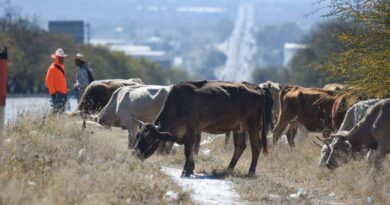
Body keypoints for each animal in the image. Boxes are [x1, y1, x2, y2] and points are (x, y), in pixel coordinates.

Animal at [131, 81, 272, 177]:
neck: (178, 103)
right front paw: (191, 168)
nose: (135, 153)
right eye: (138, 136)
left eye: (149, 138)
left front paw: (186, 171)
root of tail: (258, 88)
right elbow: (191, 150)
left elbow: (188, 150)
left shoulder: (191, 129)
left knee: (256, 147)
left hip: (253, 125)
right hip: (238, 128)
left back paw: (251, 172)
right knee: (240, 146)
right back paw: (229, 169)